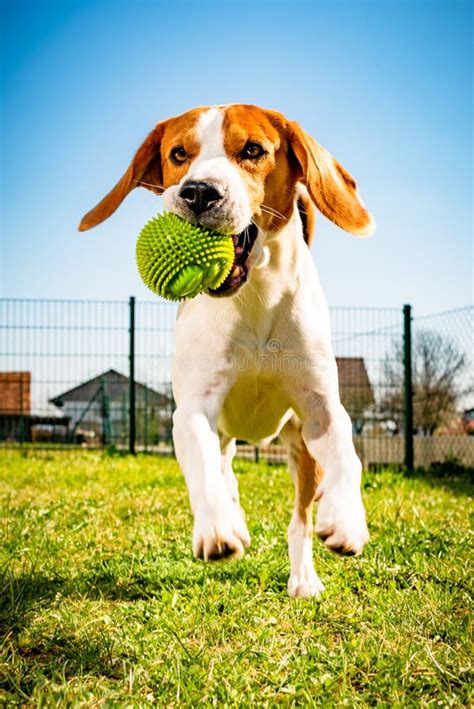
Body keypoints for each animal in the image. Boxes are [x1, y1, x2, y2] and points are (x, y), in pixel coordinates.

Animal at [80, 102, 374, 596]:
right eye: (179, 154)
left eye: (253, 150)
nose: (199, 192)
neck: (253, 298)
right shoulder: (193, 409)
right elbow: (202, 462)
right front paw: (218, 527)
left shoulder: (321, 407)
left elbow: (346, 456)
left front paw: (347, 517)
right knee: (222, 468)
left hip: (300, 449)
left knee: (299, 518)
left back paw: (303, 577)